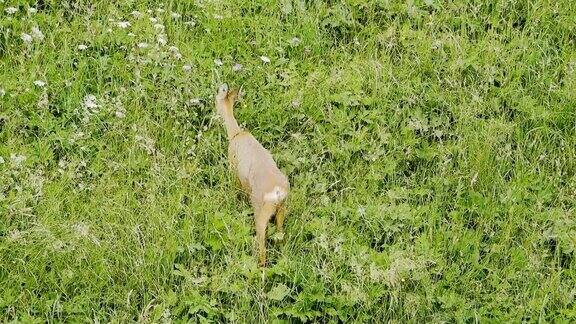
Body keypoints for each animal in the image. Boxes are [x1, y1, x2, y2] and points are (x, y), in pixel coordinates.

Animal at [215, 83, 290, 266]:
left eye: (217, 95)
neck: (235, 134)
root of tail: (278, 192)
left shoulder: (235, 170)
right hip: (282, 208)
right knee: (280, 235)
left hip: (261, 210)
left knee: (262, 245)